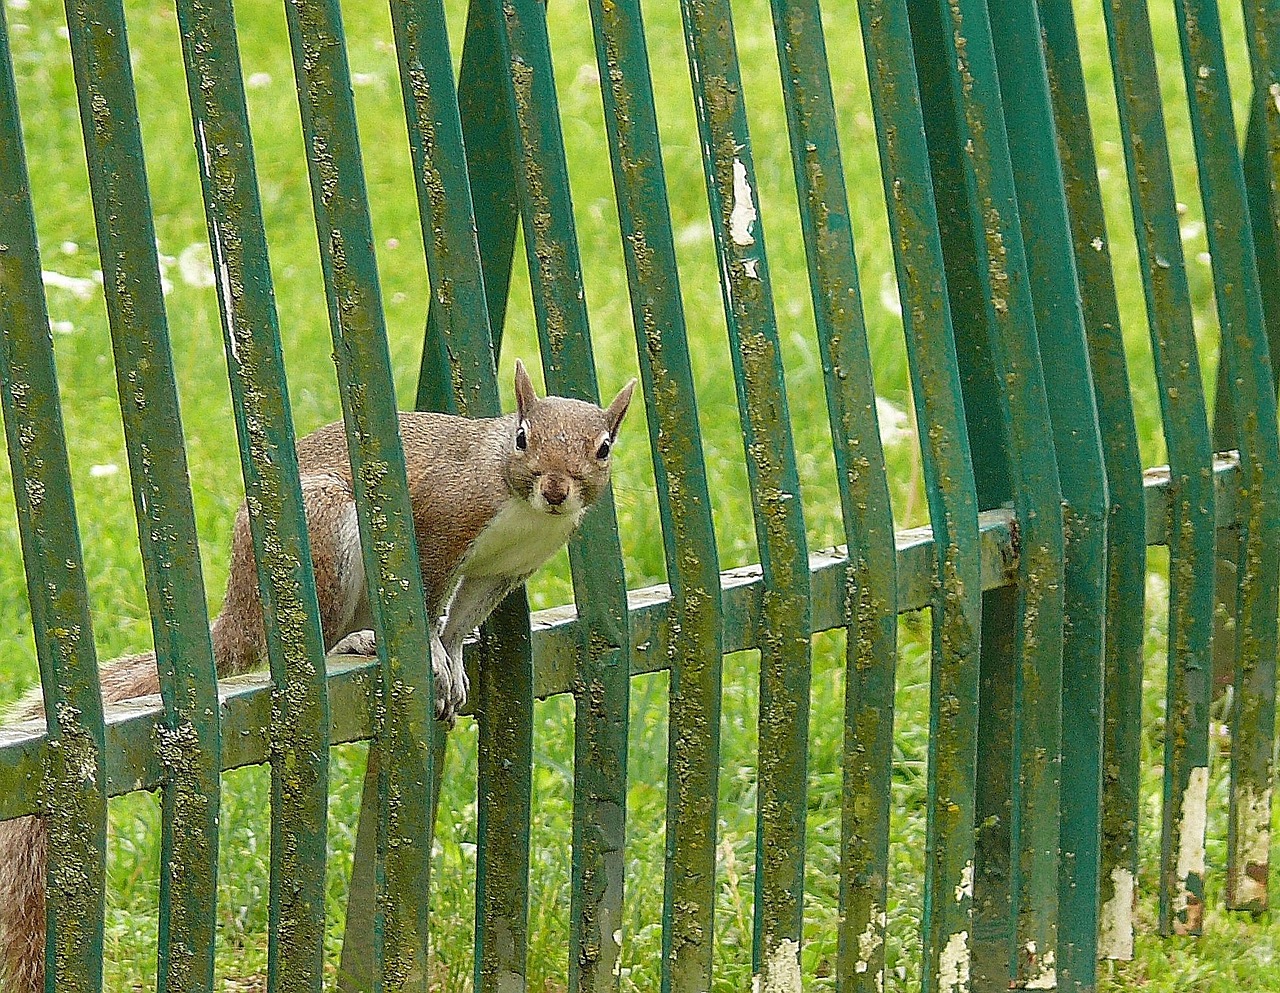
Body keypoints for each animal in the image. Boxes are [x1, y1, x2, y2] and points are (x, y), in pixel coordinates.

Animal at [0, 358, 637, 992]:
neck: (520, 508)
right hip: (324, 530)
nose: (556, 489)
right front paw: (432, 654)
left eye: (603, 448)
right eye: (524, 437)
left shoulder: (505, 568)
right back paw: (357, 640)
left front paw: (454, 657)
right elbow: (429, 599)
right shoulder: (441, 523)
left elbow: (463, 618)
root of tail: (242, 606)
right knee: (318, 641)